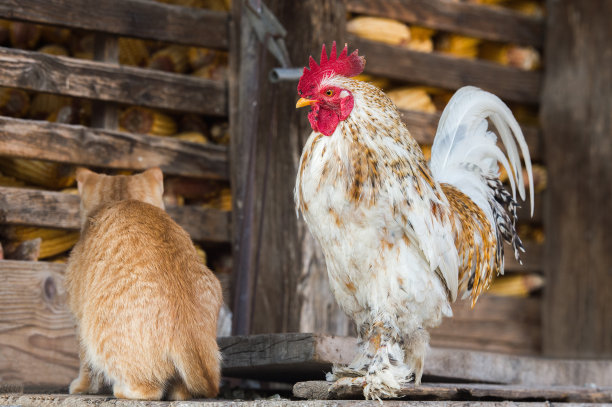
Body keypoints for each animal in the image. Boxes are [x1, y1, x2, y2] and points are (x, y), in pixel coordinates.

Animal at [65, 167, 222, 400]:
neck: (123, 199)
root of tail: (188, 329)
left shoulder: (78, 318)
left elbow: (86, 365)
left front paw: (81, 387)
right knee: (181, 392)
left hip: (96, 331)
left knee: (149, 390)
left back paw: (120, 390)